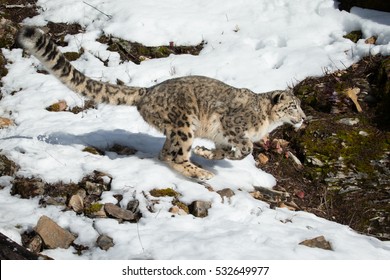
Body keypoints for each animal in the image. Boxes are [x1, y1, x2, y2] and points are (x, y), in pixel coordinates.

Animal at [17, 25, 304, 179]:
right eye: (293, 106)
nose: (303, 118)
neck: (266, 123)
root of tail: (149, 91)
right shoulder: (232, 125)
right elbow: (246, 147)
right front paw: (229, 155)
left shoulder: (223, 137)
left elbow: (223, 150)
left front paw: (207, 152)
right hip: (184, 124)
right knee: (176, 156)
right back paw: (201, 173)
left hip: (175, 130)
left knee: (165, 153)